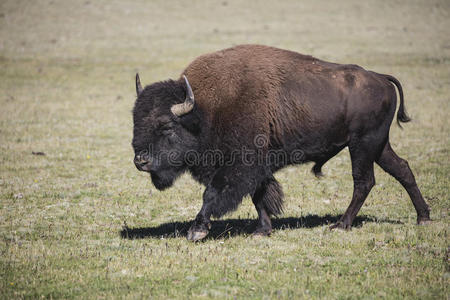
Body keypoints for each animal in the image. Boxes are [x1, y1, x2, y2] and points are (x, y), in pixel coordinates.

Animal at [132, 44, 430, 241]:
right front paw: (262, 230)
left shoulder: (238, 165)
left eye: (166, 126)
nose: (140, 161)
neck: (205, 111)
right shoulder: (257, 167)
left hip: (363, 145)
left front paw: (197, 230)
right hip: (378, 145)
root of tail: (381, 79)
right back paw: (423, 217)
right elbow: (260, 196)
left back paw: (341, 225)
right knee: (403, 169)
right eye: (135, 120)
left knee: (364, 181)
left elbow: (214, 194)